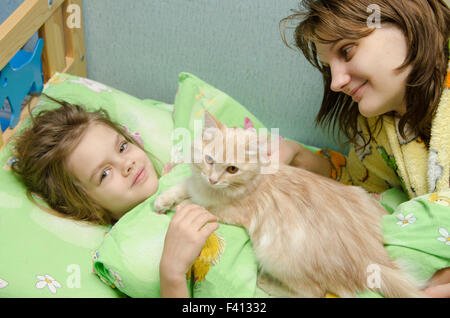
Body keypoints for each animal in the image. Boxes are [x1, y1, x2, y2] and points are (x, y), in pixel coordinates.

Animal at [156, 112, 426, 298]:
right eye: (209, 160)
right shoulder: (197, 184)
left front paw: (178, 207)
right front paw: (162, 200)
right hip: (361, 196)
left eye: (232, 169)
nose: (213, 179)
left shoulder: (225, 211)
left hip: (274, 255)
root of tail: (374, 261)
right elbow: (182, 186)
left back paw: (265, 284)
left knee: (314, 293)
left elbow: (194, 204)